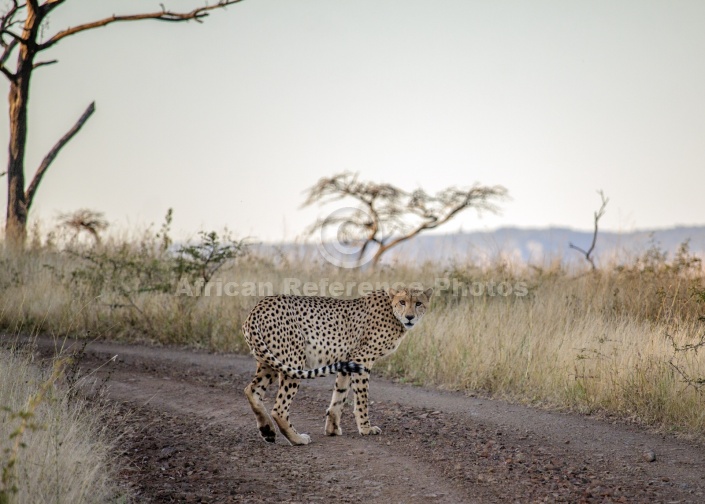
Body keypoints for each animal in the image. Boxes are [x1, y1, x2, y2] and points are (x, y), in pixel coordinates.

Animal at [242, 288, 432, 444]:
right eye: (402, 302)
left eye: (418, 303)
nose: (410, 317)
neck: (393, 313)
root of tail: (259, 306)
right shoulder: (362, 359)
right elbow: (361, 398)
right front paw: (365, 428)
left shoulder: (347, 362)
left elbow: (339, 395)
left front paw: (332, 428)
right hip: (293, 360)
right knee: (279, 408)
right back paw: (297, 439)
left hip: (270, 362)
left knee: (252, 390)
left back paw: (267, 431)